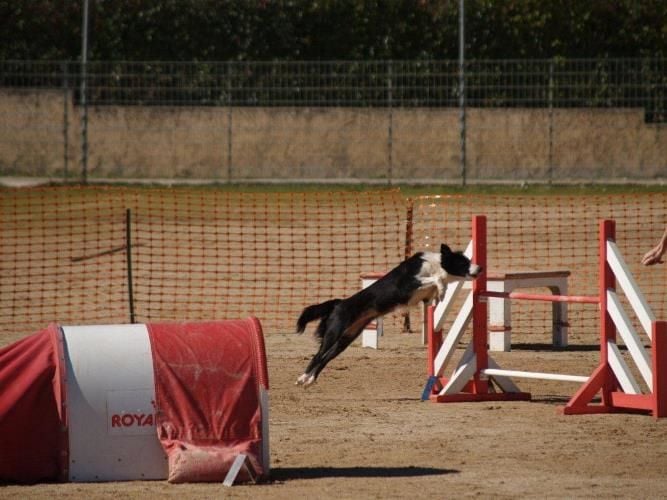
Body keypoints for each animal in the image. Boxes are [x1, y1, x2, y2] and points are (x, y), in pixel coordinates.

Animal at [296, 244, 480, 388]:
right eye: (464, 262)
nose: (480, 268)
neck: (436, 264)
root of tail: (338, 303)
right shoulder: (407, 286)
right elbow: (436, 279)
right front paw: (442, 288)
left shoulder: (426, 298)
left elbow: (436, 289)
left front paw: (442, 293)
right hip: (334, 332)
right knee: (318, 355)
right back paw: (302, 378)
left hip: (346, 338)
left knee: (325, 358)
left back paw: (310, 381)